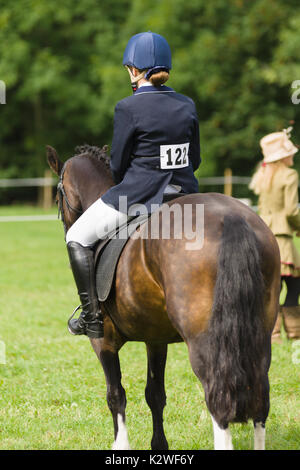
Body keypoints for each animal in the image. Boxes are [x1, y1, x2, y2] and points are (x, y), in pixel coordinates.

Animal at [47, 144, 282, 452]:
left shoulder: (103, 341)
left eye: (58, 196)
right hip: (259, 336)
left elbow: (115, 395)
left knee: (219, 401)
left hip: (205, 343)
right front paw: (159, 445)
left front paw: (121, 445)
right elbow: (155, 394)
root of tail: (231, 218)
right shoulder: (156, 339)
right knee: (259, 398)